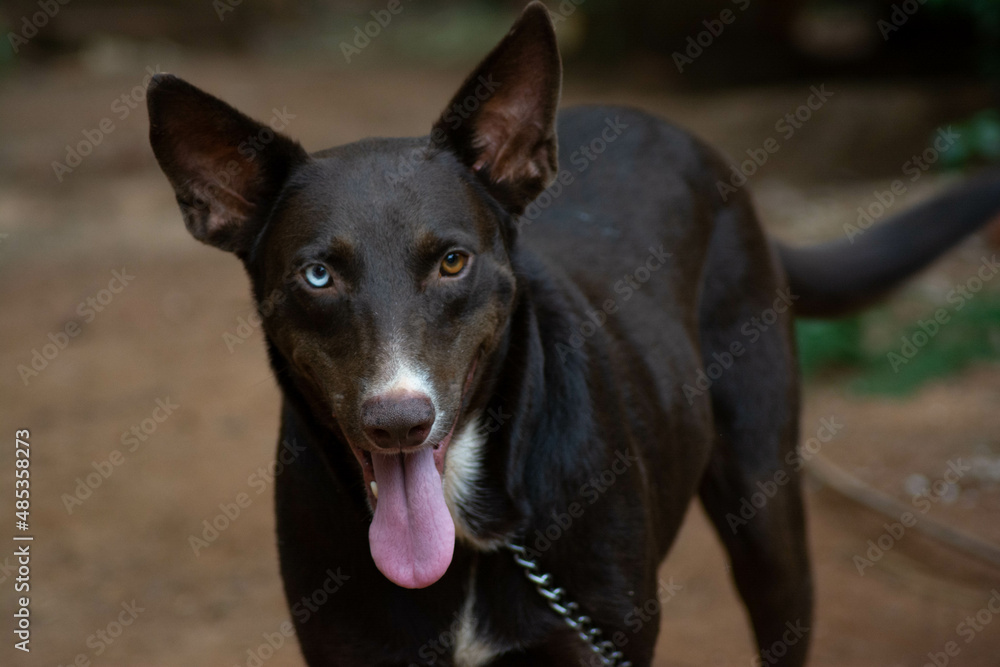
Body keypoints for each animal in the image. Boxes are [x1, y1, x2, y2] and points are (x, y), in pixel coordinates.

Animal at [146, 3, 1000, 664]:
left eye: (452, 260)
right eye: (318, 275)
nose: (398, 422)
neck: (468, 527)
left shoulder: (598, 634)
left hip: (767, 511)